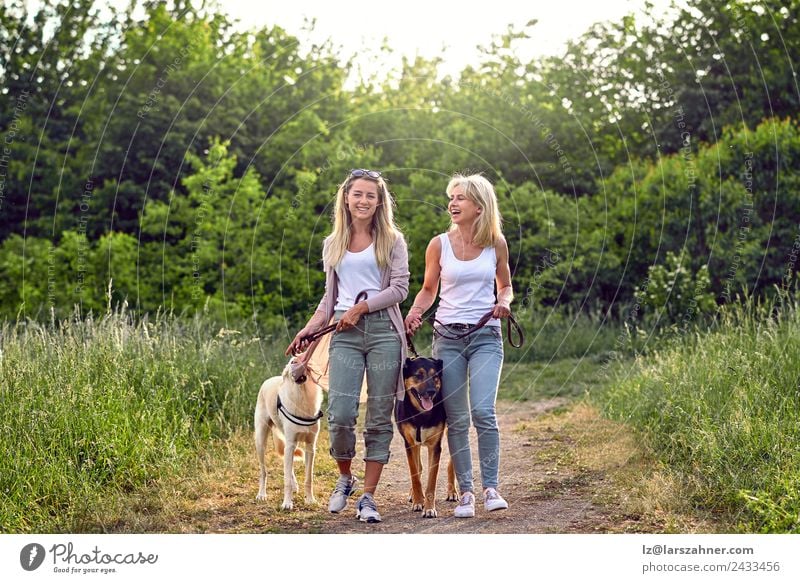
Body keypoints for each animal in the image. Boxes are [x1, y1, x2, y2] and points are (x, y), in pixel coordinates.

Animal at [253, 360, 322, 512]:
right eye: (292, 362)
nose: (298, 362)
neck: (302, 395)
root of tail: (269, 379)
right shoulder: (290, 444)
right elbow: (285, 481)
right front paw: (287, 503)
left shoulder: (310, 447)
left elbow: (309, 478)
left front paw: (310, 500)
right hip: (261, 442)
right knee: (263, 472)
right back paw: (261, 494)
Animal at [396, 356, 456, 516]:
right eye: (418, 375)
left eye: (435, 377)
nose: (431, 391)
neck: (421, 414)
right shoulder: (409, 444)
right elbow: (415, 475)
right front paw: (418, 501)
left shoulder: (435, 447)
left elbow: (431, 481)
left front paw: (429, 508)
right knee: (418, 468)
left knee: (452, 463)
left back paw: (452, 492)